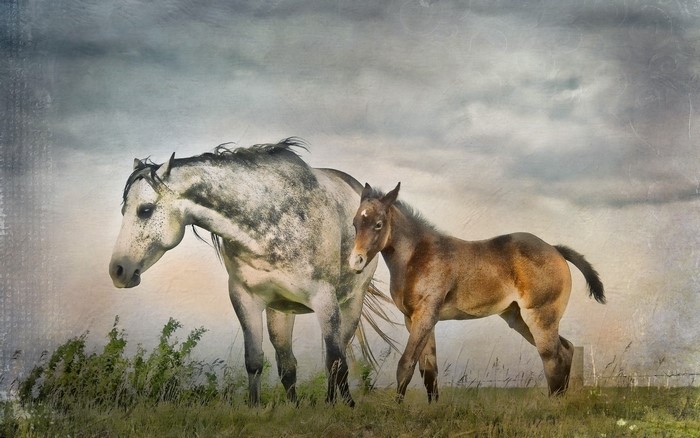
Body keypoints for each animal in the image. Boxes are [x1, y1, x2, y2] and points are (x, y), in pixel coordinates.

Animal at [109, 138, 391, 407]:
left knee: (338, 355)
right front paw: (256, 408)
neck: (271, 220)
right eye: (123, 210)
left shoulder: (325, 300)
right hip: (281, 311)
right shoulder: (245, 298)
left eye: (145, 210)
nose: (118, 270)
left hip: (351, 304)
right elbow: (255, 361)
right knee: (287, 363)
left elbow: (334, 361)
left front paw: (336, 408)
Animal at [349, 182, 605, 402]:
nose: (355, 261)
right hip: (519, 319)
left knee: (553, 357)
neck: (417, 256)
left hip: (540, 316)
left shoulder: (425, 315)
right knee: (566, 349)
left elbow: (406, 364)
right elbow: (429, 370)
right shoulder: (414, 319)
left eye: (378, 224)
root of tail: (554, 249)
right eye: (354, 223)